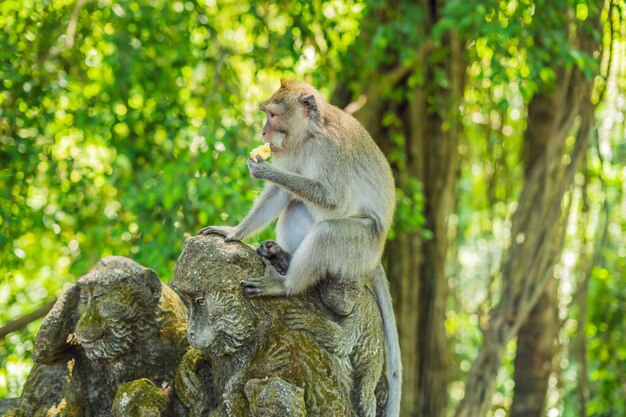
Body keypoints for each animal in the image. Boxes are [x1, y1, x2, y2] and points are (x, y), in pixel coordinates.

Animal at [195, 79, 400, 414]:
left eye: (273, 115)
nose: (263, 133)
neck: (310, 135)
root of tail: (377, 256)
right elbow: (280, 195)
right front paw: (233, 232)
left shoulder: (331, 151)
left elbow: (333, 199)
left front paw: (264, 170)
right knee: (294, 204)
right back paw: (283, 256)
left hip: (360, 248)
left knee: (328, 232)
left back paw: (285, 285)